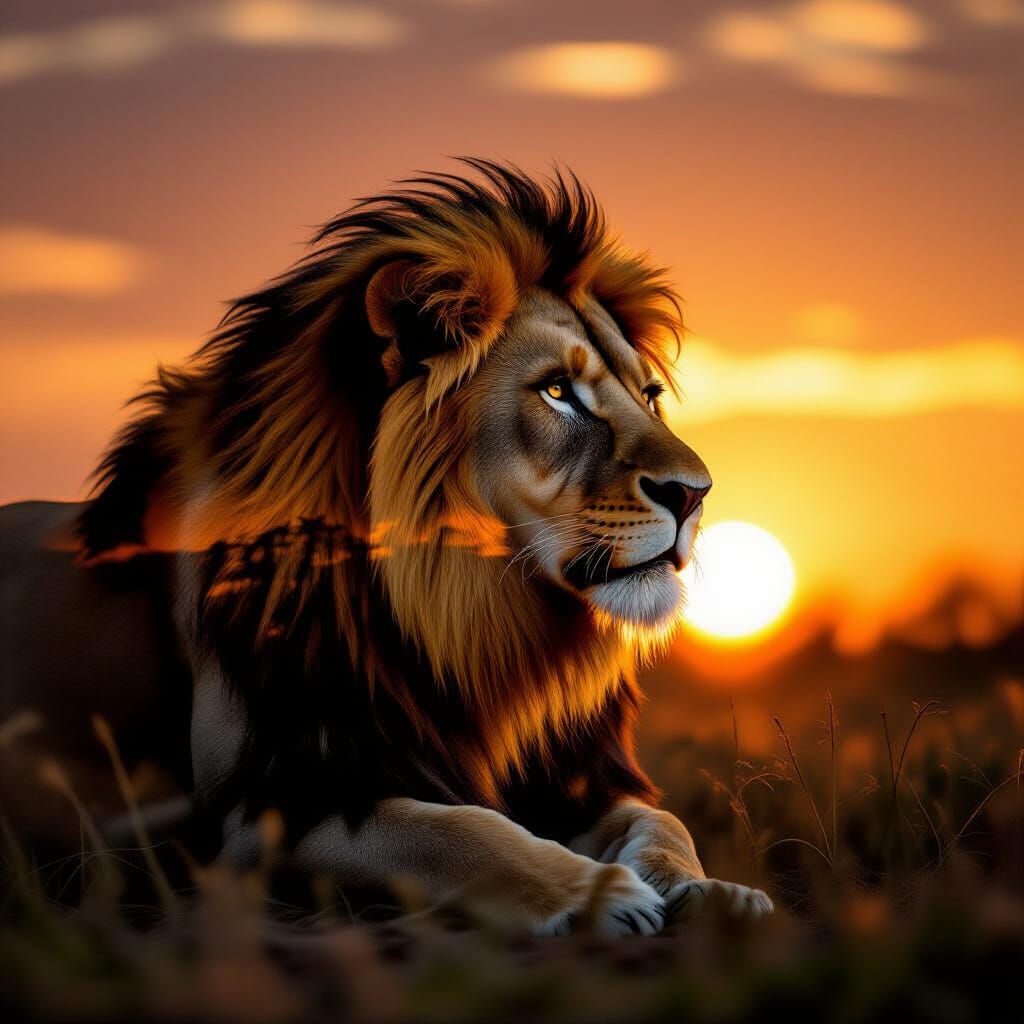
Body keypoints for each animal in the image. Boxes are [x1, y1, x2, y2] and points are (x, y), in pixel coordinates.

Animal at [0, 161, 771, 933]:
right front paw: (599, 896)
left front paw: (715, 893)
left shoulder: (579, 776)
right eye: (558, 391)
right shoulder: (265, 811)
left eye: (648, 395)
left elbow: (664, 823)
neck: (472, 625)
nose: (695, 494)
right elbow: (457, 832)